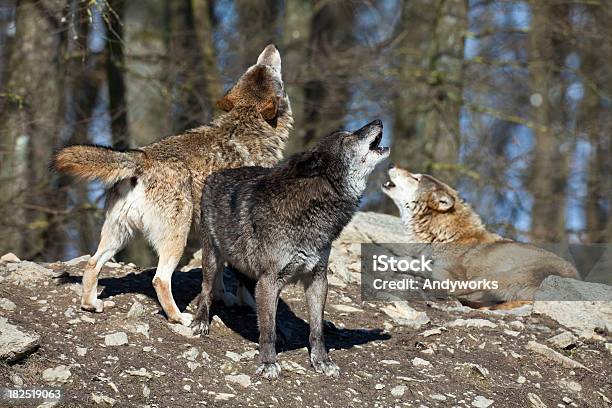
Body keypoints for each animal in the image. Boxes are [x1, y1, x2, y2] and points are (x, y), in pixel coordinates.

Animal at [194, 119, 390, 378]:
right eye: (345, 138)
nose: (378, 121)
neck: (314, 209)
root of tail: (216, 174)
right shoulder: (269, 279)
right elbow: (266, 331)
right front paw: (268, 363)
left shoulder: (317, 279)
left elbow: (316, 330)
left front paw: (321, 361)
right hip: (212, 257)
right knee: (206, 290)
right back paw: (201, 321)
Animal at [382, 165, 580, 306]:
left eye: (416, 178)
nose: (391, 164)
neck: (442, 235)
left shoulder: (451, 276)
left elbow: (418, 264)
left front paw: (394, 260)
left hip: (492, 277)